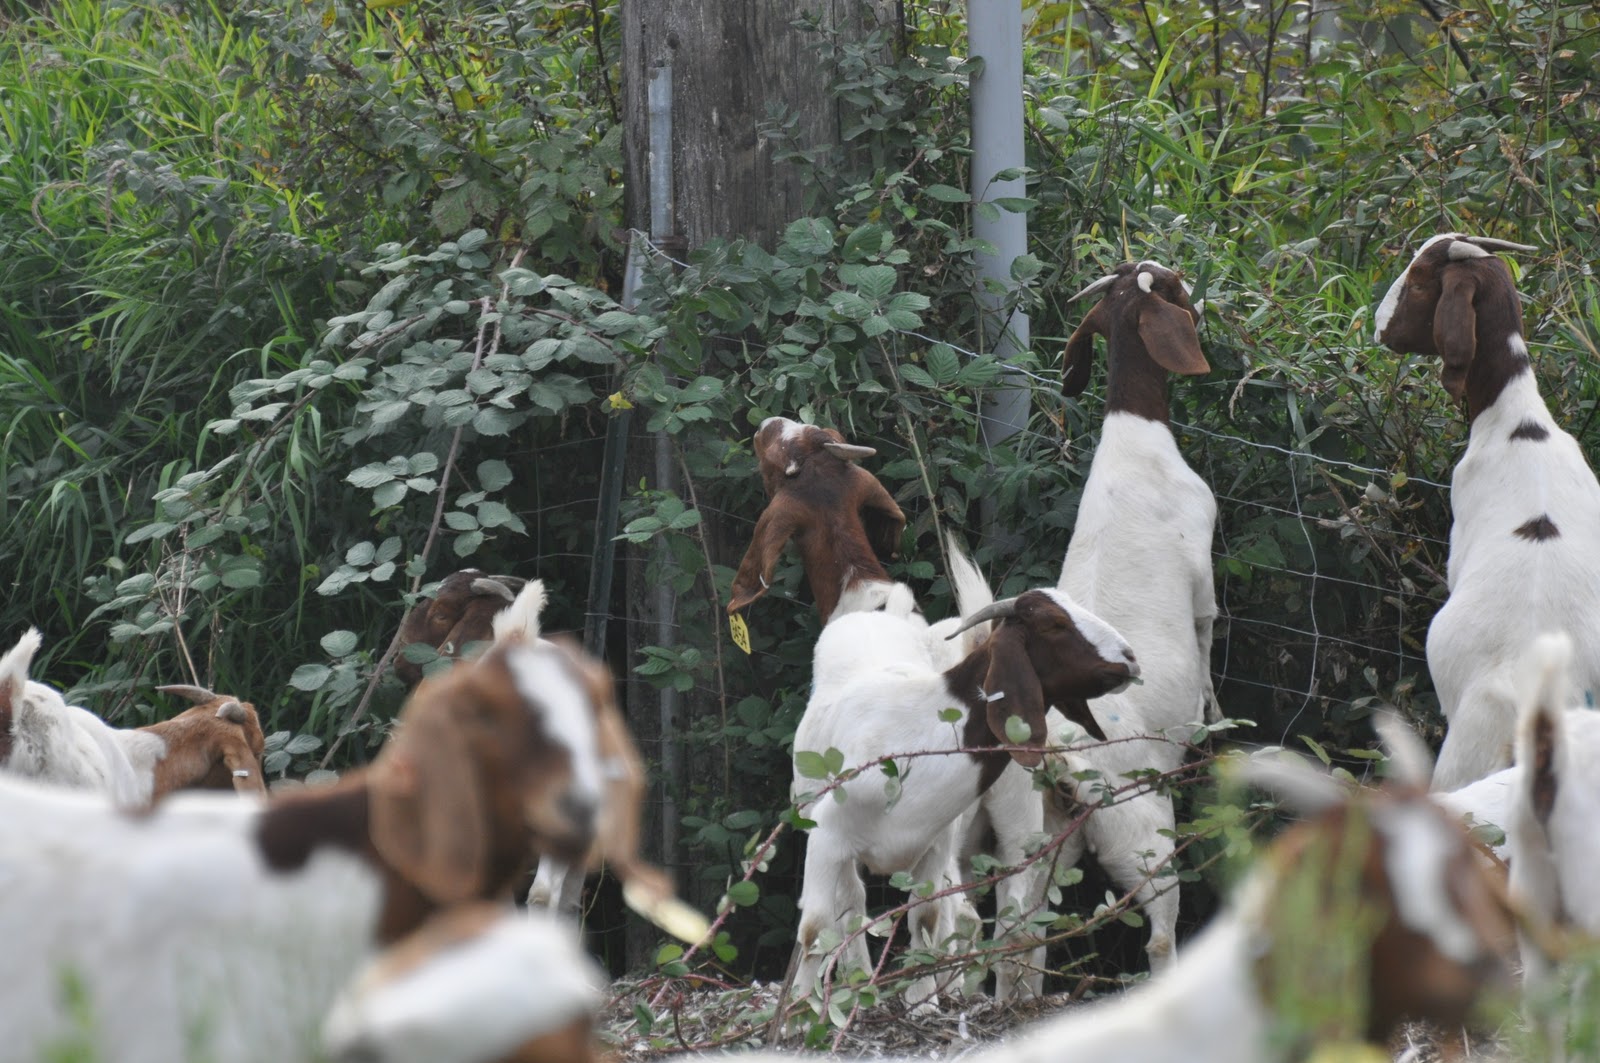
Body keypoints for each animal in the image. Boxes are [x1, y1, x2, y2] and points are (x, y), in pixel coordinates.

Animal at [784, 588, 1137, 1010]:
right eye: (1053, 623)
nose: (1130, 658)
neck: (919, 739)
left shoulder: (935, 845)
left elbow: (927, 916)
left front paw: (924, 1003)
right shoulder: (827, 836)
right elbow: (814, 926)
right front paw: (793, 1013)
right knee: (849, 903)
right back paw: (855, 987)